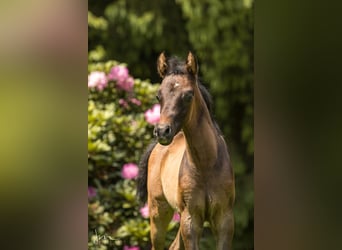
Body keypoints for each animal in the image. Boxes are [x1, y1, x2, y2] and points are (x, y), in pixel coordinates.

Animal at [137, 51, 235, 249]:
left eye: (189, 95)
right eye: (158, 96)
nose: (162, 131)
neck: (206, 164)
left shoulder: (225, 220)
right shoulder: (191, 220)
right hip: (159, 212)